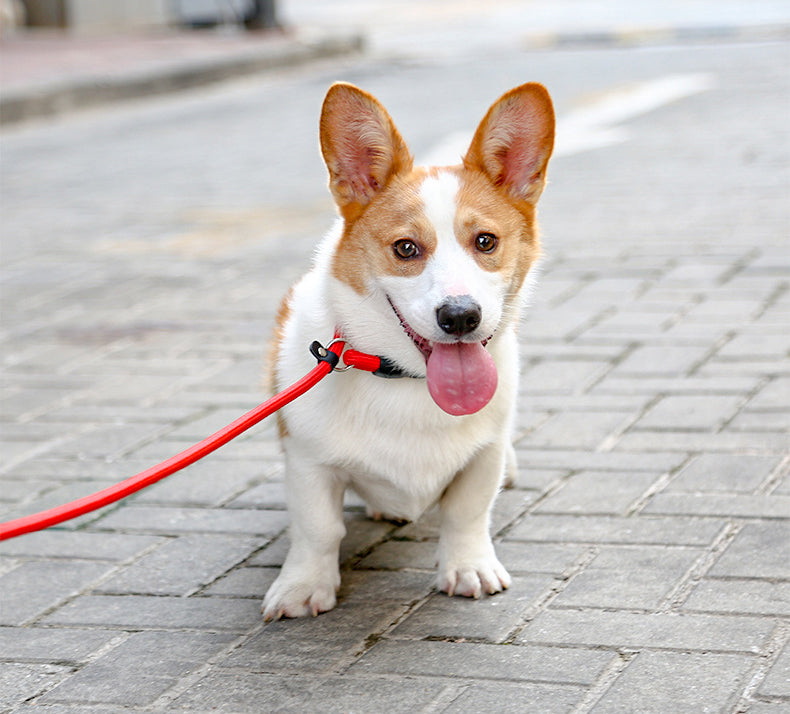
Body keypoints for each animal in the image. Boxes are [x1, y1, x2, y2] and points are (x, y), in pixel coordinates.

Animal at [262, 82, 552, 616]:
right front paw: (302, 586)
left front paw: (468, 568)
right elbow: (318, 529)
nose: (460, 317)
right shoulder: (307, 462)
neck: (407, 381)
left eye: (486, 241)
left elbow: (467, 512)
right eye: (405, 249)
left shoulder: (483, 456)